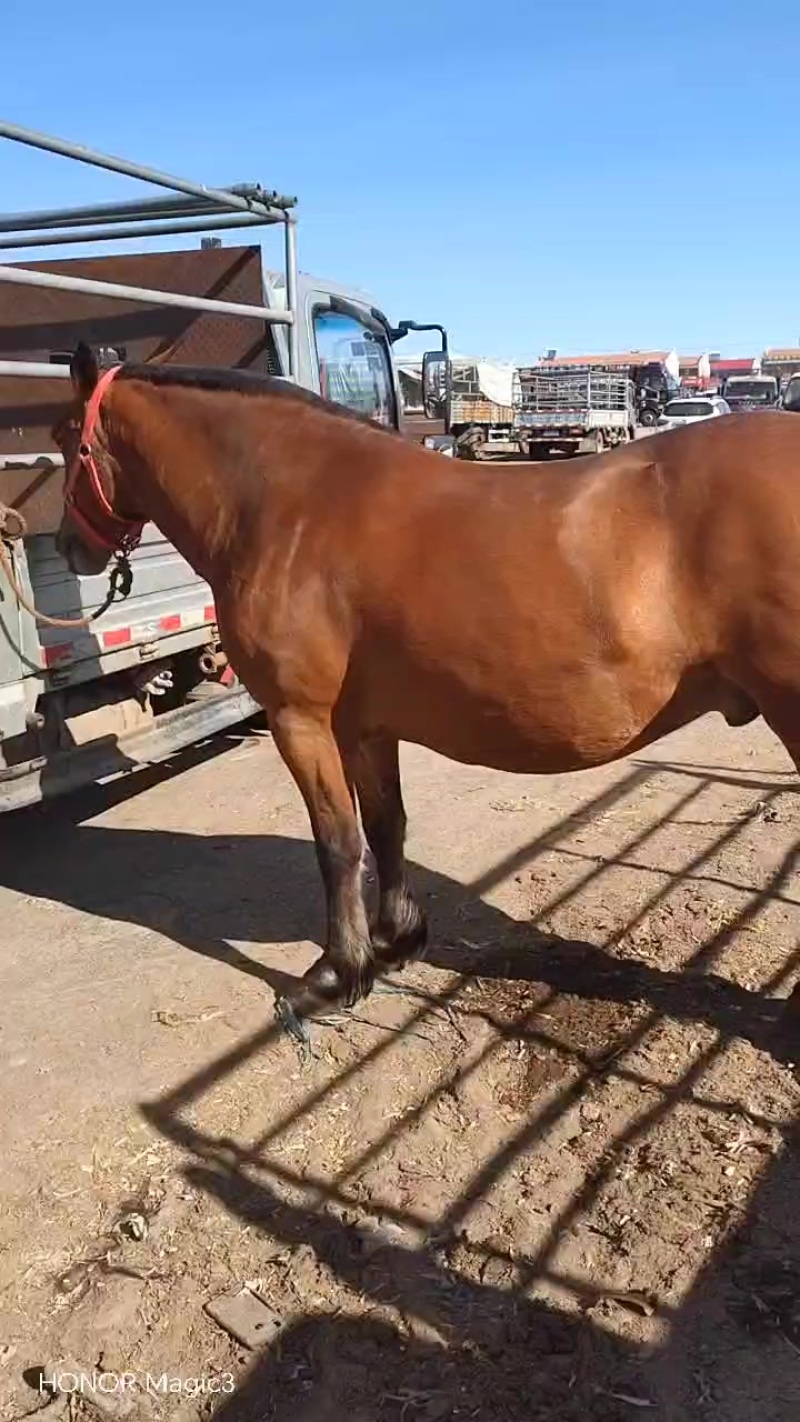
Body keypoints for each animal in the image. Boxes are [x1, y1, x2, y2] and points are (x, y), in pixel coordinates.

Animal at [52, 343, 800, 1036]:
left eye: (62, 437)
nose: (67, 548)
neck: (292, 504)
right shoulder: (363, 724)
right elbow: (386, 826)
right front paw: (395, 942)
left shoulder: (300, 719)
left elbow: (337, 843)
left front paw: (335, 976)